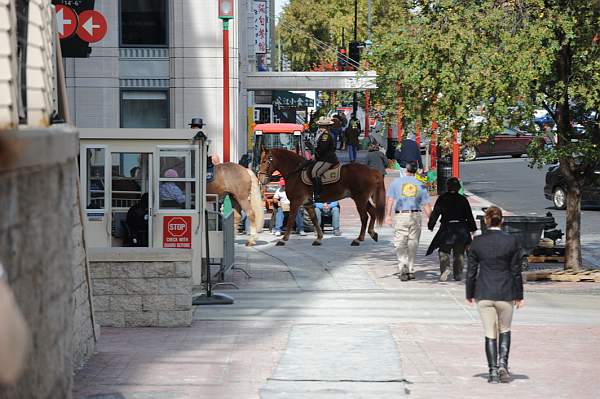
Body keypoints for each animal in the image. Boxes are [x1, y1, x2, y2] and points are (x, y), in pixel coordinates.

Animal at [256, 148, 384, 247]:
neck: (296, 173)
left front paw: (283, 240)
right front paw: (318, 238)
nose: (261, 180)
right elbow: (315, 219)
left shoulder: (296, 202)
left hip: (360, 199)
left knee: (364, 217)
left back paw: (359, 239)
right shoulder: (307, 203)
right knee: (372, 212)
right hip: (362, 199)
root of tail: (371, 170)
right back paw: (372, 233)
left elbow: (291, 219)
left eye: (265, 161)